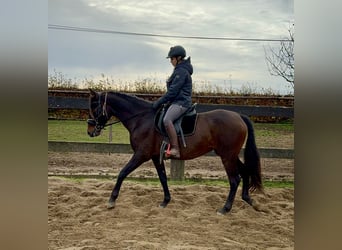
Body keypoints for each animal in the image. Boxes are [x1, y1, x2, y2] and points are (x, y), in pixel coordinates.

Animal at [87, 89, 264, 214]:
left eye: (94, 107)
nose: (90, 131)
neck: (142, 119)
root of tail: (239, 116)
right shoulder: (154, 156)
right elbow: (163, 178)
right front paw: (165, 201)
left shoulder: (141, 155)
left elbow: (122, 173)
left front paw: (111, 201)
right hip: (230, 155)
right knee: (245, 172)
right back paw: (250, 201)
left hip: (227, 156)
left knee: (234, 180)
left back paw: (225, 209)